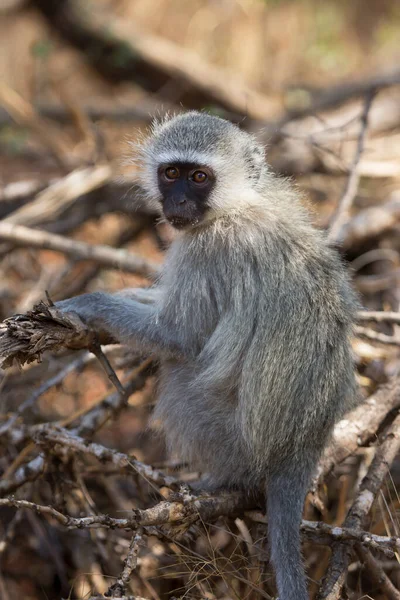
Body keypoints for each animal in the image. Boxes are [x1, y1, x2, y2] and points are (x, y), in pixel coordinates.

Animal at [55, 112, 356, 600]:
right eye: (171, 173)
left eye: (199, 178)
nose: (177, 200)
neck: (237, 205)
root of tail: (302, 444)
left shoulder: (208, 249)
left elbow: (178, 338)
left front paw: (88, 304)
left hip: (232, 437)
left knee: (180, 375)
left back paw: (216, 482)